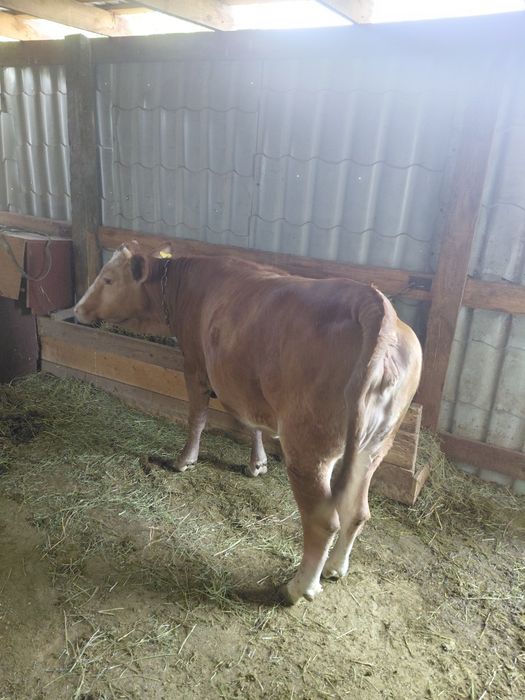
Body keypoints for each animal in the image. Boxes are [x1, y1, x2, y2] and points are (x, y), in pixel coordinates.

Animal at [74, 241, 422, 604]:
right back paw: (335, 567)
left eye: (109, 279)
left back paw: (298, 587)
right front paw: (258, 463)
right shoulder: (243, 383)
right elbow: (252, 424)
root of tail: (376, 307)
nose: (78, 308)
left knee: (324, 521)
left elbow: (197, 417)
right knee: (358, 511)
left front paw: (185, 460)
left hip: (309, 450)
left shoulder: (195, 364)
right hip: (374, 447)